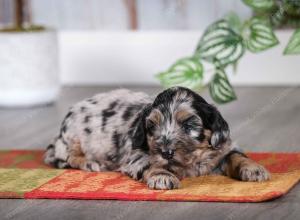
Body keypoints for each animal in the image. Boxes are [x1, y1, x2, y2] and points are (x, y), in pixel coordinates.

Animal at [44, 87, 270, 190]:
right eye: (152, 126)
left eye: (189, 125)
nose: (166, 152)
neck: (192, 160)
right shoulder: (136, 156)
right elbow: (152, 163)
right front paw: (163, 176)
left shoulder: (222, 148)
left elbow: (236, 156)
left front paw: (254, 169)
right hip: (73, 136)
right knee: (68, 156)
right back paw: (92, 163)